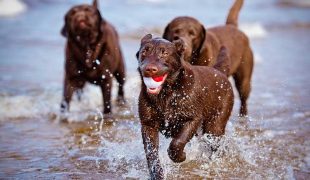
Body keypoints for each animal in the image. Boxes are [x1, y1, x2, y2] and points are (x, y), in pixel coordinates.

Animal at [137, 34, 234, 179]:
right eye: (144, 51)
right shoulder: (148, 124)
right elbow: (151, 152)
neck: (167, 93)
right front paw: (157, 173)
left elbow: (177, 143)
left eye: (164, 53)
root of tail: (219, 72)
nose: (150, 69)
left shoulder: (192, 119)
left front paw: (180, 157)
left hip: (214, 126)